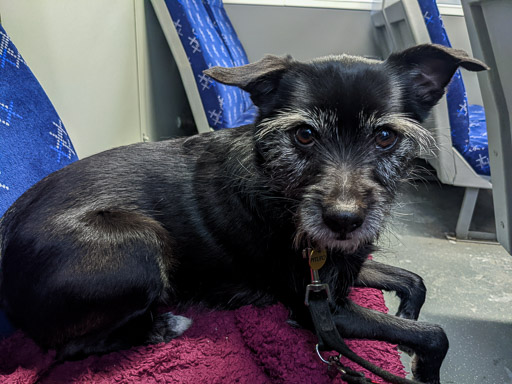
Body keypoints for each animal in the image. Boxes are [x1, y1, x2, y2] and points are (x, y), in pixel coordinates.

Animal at [0, 44, 488, 380]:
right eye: (304, 135)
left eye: (386, 136)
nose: (343, 220)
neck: (279, 186)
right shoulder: (319, 309)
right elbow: (436, 334)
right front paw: (424, 367)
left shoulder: (340, 267)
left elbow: (414, 280)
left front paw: (406, 315)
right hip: (137, 242)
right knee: (68, 349)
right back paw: (163, 326)